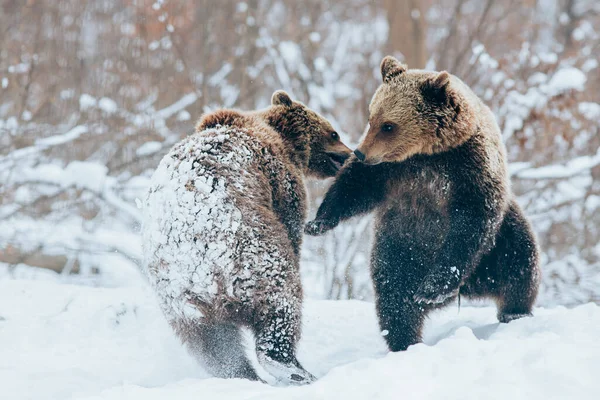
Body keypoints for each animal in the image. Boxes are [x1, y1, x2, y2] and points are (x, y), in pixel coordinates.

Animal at [141, 90, 352, 384]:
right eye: (334, 133)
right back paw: (292, 368)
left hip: (182, 306)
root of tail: (198, 272)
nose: (350, 154)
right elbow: (291, 219)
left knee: (215, 347)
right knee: (282, 301)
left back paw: (243, 375)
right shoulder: (279, 177)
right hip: (253, 254)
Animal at [308, 57, 540, 354]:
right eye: (372, 119)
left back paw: (512, 311)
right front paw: (317, 222)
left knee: (519, 261)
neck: (429, 153)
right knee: (394, 292)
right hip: (399, 244)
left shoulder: (469, 167)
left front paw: (432, 288)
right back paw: (404, 339)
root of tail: (472, 287)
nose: (359, 152)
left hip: (499, 240)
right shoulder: (393, 171)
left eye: (388, 125)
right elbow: (354, 186)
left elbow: (471, 222)